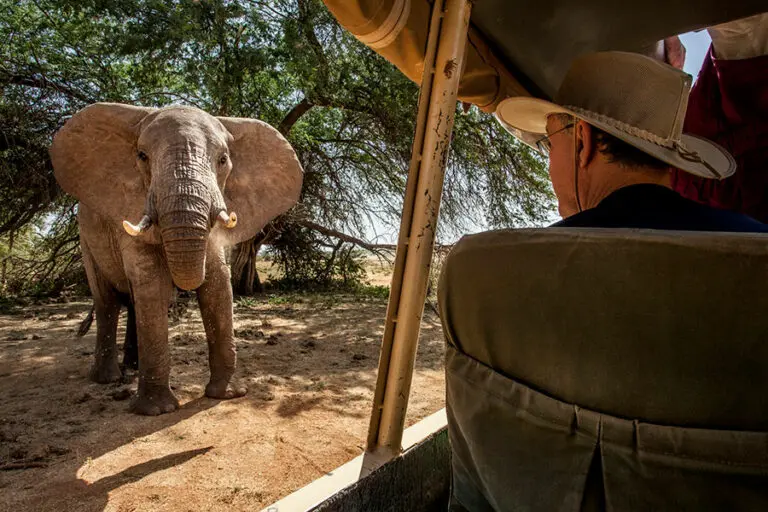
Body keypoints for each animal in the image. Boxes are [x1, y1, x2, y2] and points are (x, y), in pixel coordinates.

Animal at [49, 103, 303, 415]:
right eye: (142, 156)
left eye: (223, 160)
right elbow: (153, 286)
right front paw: (156, 411)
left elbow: (217, 286)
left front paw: (227, 395)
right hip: (87, 239)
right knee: (107, 301)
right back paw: (107, 379)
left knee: (132, 302)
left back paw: (132, 368)